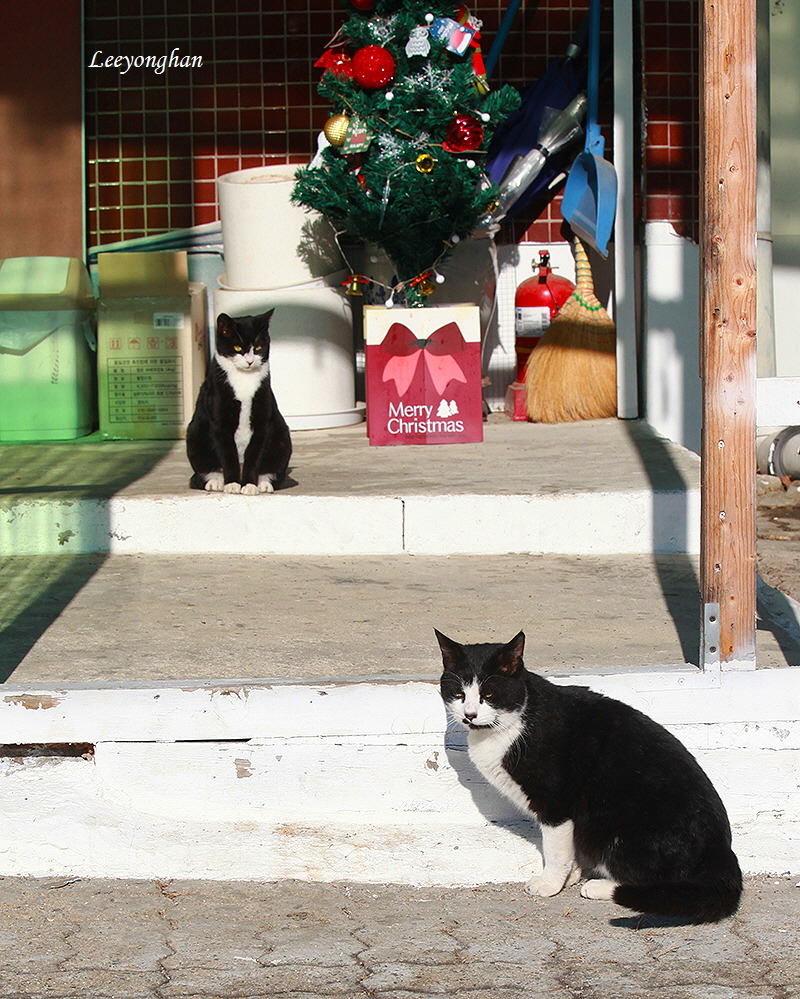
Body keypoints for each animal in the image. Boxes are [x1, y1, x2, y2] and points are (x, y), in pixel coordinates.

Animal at [187, 304, 290, 492]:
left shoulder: (262, 421)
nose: (249, 361)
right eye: (237, 348)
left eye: (258, 348)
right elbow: (228, 457)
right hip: (194, 435)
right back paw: (215, 482)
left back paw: (264, 484)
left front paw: (249, 485)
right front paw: (232, 485)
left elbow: (254, 456)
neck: (244, 379)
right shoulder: (220, 422)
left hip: (283, 436)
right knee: (201, 473)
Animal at [438, 628, 744, 924]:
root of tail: (721, 848)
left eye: (489, 694)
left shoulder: (554, 805)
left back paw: (601, 886)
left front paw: (550, 883)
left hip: (615, 830)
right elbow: (568, 847)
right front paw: (570, 876)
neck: (515, 722)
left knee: (657, 883)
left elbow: (555, 849)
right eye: (458, 694)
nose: (469, 715)